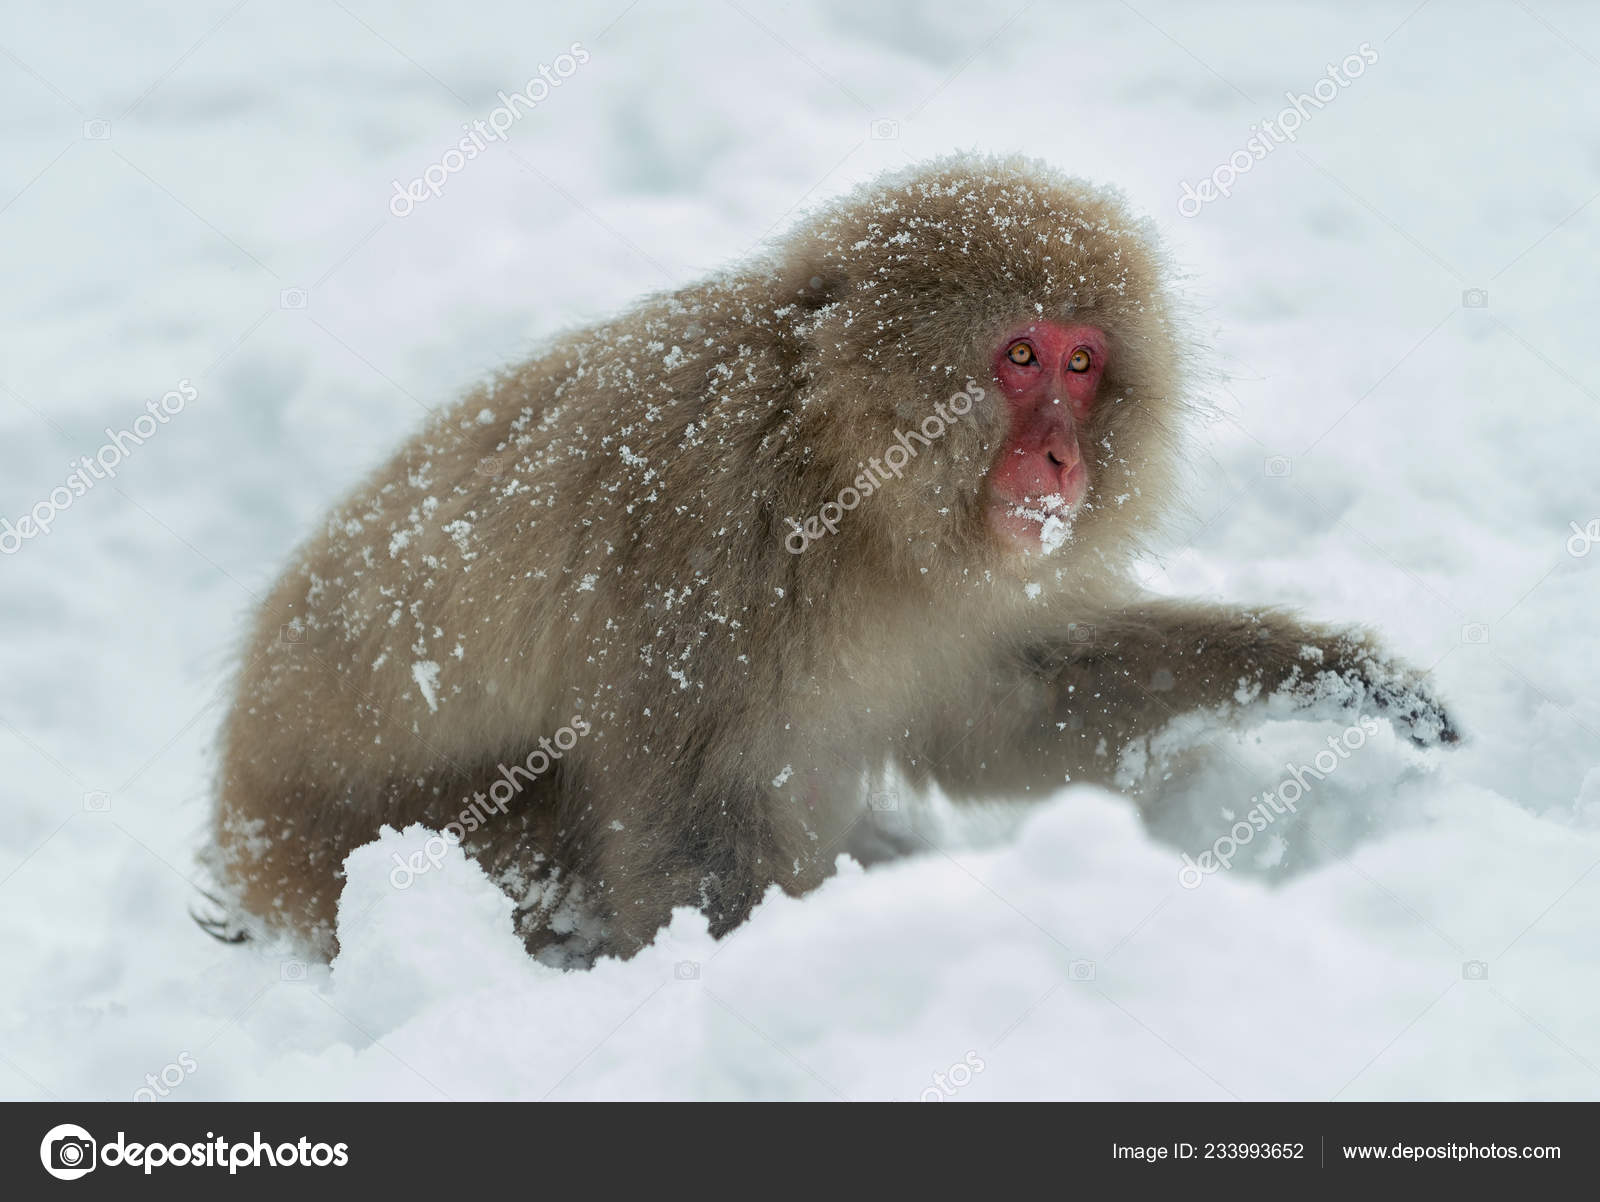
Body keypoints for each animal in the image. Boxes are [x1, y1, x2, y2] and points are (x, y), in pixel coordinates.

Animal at [206, 155, 1459, 966]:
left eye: (1084, 361)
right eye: (1019, 355)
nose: (1062, 456)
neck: (841, 477)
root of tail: (241, 823)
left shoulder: (950, 593)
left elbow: (1003, 713)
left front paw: (1324, 672)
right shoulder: (711, 543)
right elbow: (694, 828)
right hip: (354, 852)